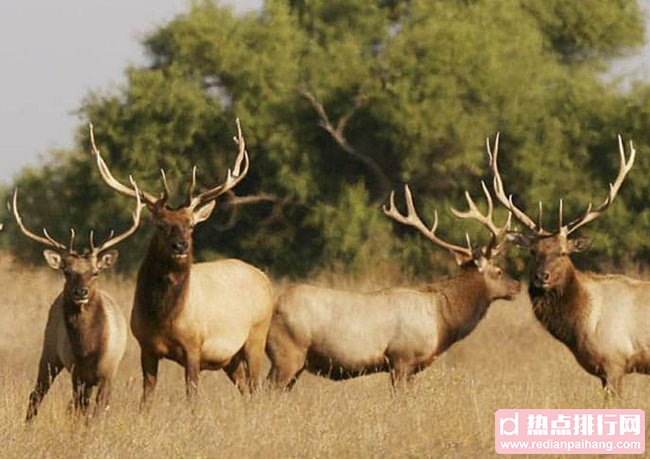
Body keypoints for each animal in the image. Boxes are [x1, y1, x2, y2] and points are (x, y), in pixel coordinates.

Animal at [15, 180, 142, 420]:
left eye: (95, 272)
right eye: (66, 271)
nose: (81, 292)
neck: (89, 350)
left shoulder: (108, 371)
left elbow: (98, 412)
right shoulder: (77, 372)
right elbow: (80, 410)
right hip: (50, 351)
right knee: (37, 394)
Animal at [89, 120, 274, 404]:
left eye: (191, 226)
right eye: (161, 225)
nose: (180, 247)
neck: (164, 317)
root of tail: (265, 280)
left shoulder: (194, 345)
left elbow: (192, 397)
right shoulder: (145, 346)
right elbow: (147, 397)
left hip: (257, 334)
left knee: (256, 385)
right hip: (230, 357)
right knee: (246, 387)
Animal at [266, 181, 520, 390]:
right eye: (498, 271)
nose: (517, 286)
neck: (442, 322)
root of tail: (271, 305)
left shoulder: (411, 367)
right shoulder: (402, 358)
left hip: (296, 363)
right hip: (287, 353)